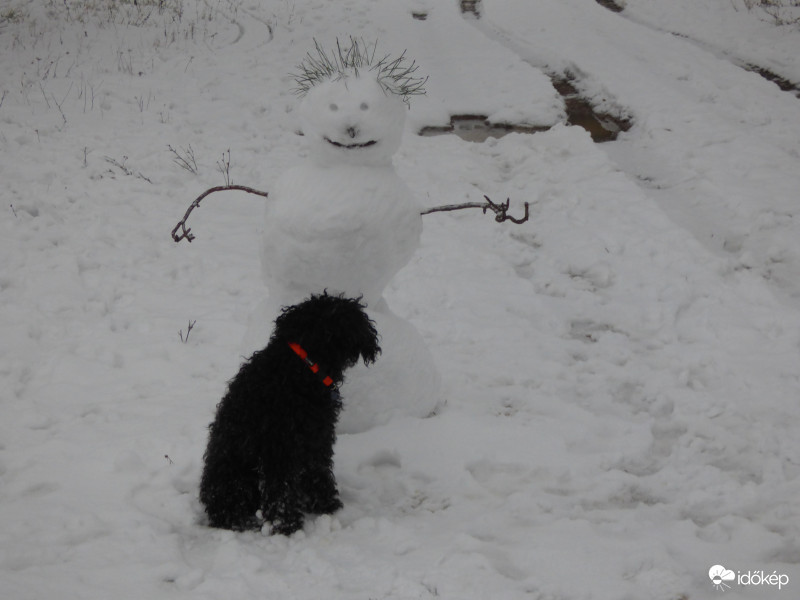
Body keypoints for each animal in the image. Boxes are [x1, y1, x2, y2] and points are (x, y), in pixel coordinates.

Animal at [197, 292, 378, 532]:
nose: (372, 336)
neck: (299, 370)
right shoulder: (281, 447)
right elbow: (281, 490)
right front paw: (287, 524)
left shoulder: (316, 439)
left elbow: (316, 472)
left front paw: (325, 505)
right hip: (237, 480)